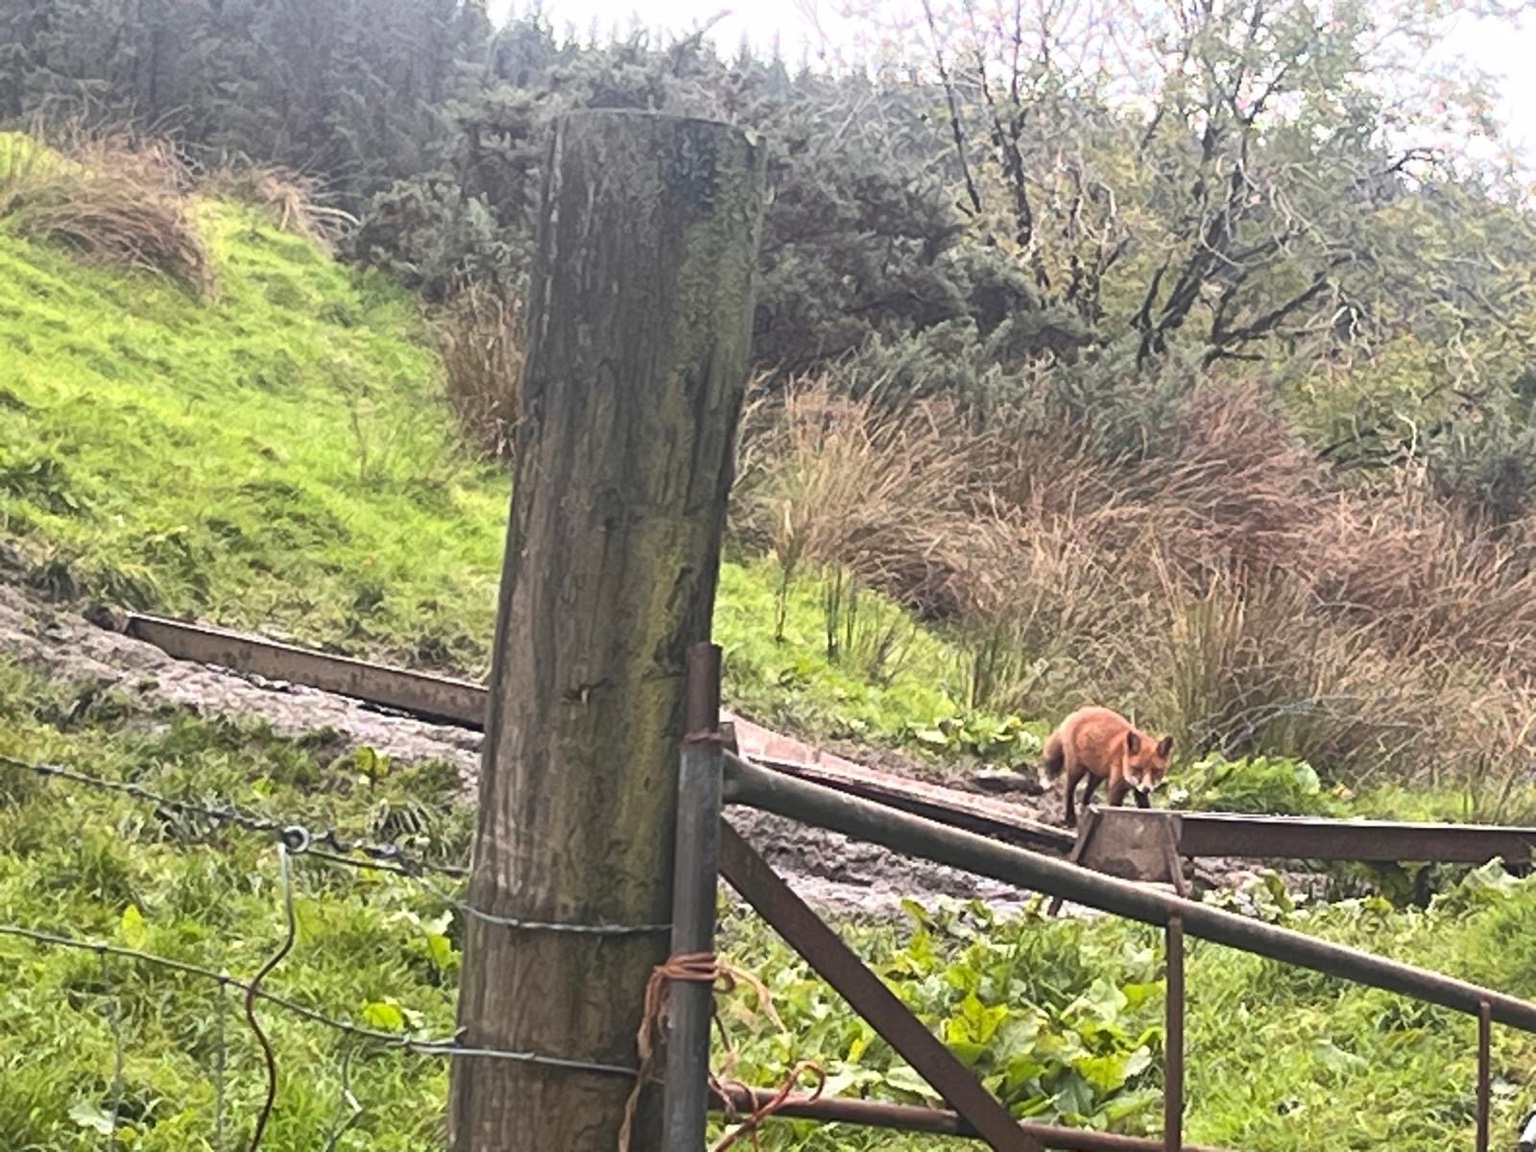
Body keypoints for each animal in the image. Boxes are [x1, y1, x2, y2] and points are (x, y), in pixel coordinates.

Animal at [1037, 706, 1173, 828]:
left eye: (1156, 771)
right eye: (1138, 769)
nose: (1147, 789)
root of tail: (1078, 712)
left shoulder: (1139, 792)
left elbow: (1146, 809)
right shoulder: (1116, 789)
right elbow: (1115, 810)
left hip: (1097, 775)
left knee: (1086, 795)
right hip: (1077, 770)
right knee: (1069, 792)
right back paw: (1070, 819)